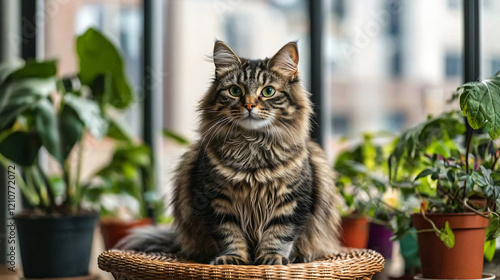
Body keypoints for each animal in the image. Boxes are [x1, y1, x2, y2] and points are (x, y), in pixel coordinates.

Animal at [119, 41, 342, 264]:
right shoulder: (215, 200)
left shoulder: (294, 200)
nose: (249, 105)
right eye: (235, 91)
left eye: (268, 91)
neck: (252, 147)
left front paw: (272, 258)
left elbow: (279, 234)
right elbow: (229, 234)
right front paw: (233, 258)